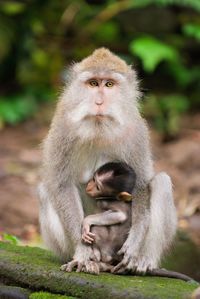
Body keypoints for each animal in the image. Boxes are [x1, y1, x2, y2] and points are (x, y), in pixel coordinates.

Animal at [38, 48, 177, 276]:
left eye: (109, 84)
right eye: (94, 83)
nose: (99, 103)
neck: (98, 129)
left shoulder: (136, 131)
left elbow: (141, 184)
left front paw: (134, 242)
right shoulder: (62, 128)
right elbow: (61, 184)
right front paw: (83, 253)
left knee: (161, 182)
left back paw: (143, 262)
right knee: (44, 190)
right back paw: (91, 259)